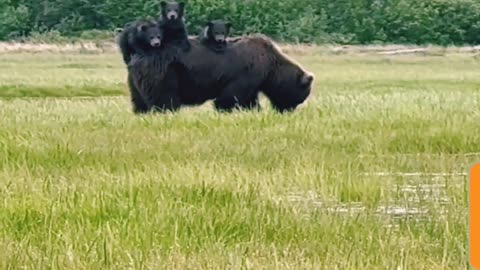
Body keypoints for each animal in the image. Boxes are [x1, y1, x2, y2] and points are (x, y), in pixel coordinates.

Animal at [176, 33, 316, 112]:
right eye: (301, 99)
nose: (287, 111)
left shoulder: (253, 83)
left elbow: (250, 102)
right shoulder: (246, 75)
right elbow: (229, 98)